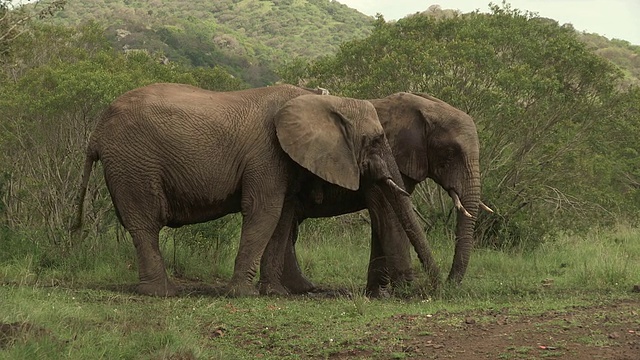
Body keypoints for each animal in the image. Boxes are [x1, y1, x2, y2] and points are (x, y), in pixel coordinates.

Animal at [71, 83, 440, 296]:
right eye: (376, 140)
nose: (434, 289)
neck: (321, 101)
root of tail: (95, 132)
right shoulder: (267, 152)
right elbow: (265, 210)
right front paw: (243, 295)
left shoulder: (284, 159)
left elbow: (281, 215)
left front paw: (274, 293)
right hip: (134, 162)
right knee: (144, 223)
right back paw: (162, 293)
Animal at [260, 91, 496, 296]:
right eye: (450, 153)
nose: (444, 286)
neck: (423, 106)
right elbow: (389, 214)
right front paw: (404, 291)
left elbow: (385, 218)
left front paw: (377, 293)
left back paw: (300, 288)